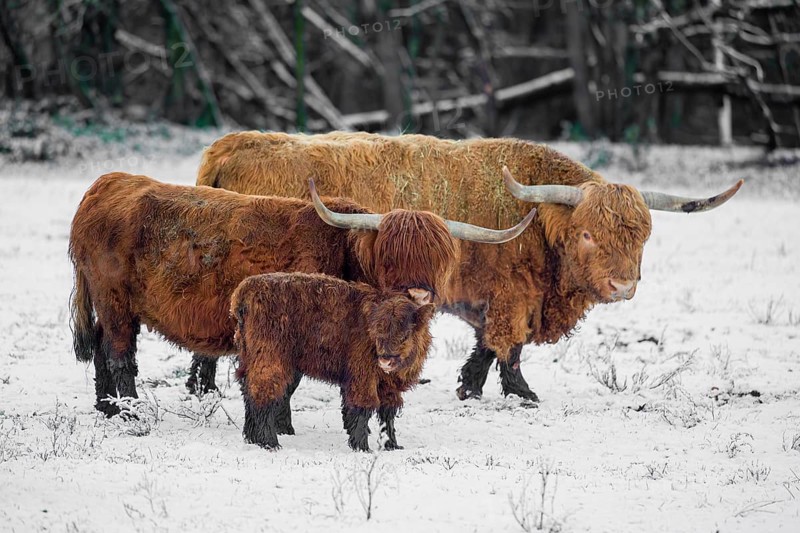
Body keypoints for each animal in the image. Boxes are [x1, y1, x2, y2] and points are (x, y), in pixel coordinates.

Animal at [68, 172, 534, 417]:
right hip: (115, 302)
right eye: (390, 255)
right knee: (119, 354)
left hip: (109, 304)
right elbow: (286, 381)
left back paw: (107, 409)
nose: (418, 293)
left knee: (100, 348)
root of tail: (106, 184)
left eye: (439, 257)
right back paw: (131, 410)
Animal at [193, 131, 743, 402]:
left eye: (642, 237)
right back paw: (203, 386)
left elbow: (486, 348)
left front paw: (469, 387)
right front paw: (522, 394)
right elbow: (510, 347)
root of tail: (232, 145)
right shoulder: (511, 296)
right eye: (588, 234)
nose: (623, 284)